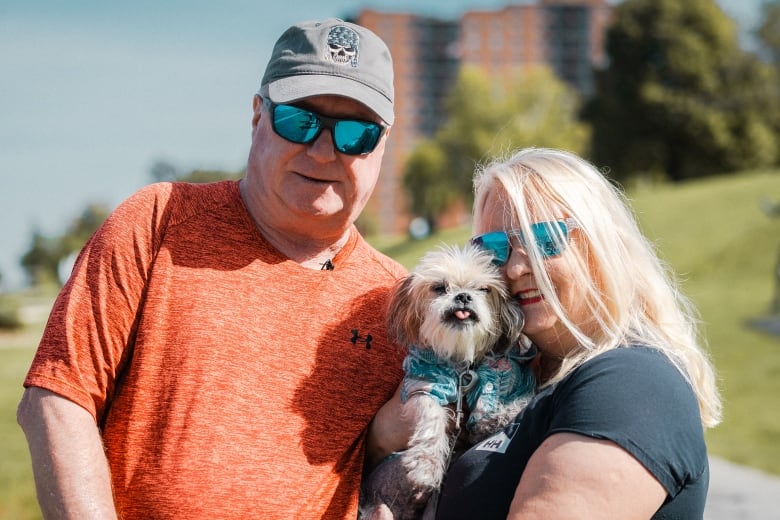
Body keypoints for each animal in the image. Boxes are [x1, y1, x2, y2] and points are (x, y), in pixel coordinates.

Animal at [362, 244, 536, 520]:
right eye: (440, 287)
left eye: (484, 289)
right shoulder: (424, 385)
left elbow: (510, 396)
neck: (461, 366)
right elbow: (431, 417)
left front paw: (500, 415)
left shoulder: (508, 374)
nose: (463, 296)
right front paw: (426, 465)